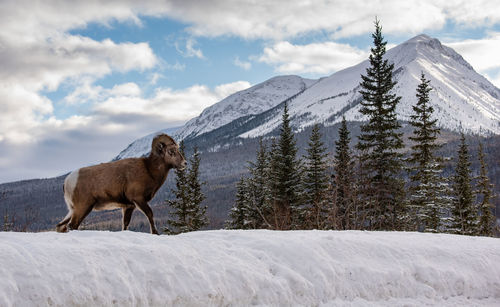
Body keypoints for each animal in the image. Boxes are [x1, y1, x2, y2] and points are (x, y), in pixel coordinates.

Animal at [56, 134, 186, 235]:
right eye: (171, 152)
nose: (184, 163)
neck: (149, 170)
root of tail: (68, 182)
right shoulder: (138, 199)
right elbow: (150, 214)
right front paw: (155, 233)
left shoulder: (128, 206)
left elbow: (125, 224)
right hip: (83, 207)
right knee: (72, 225)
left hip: (73, 209)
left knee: (61, 226)